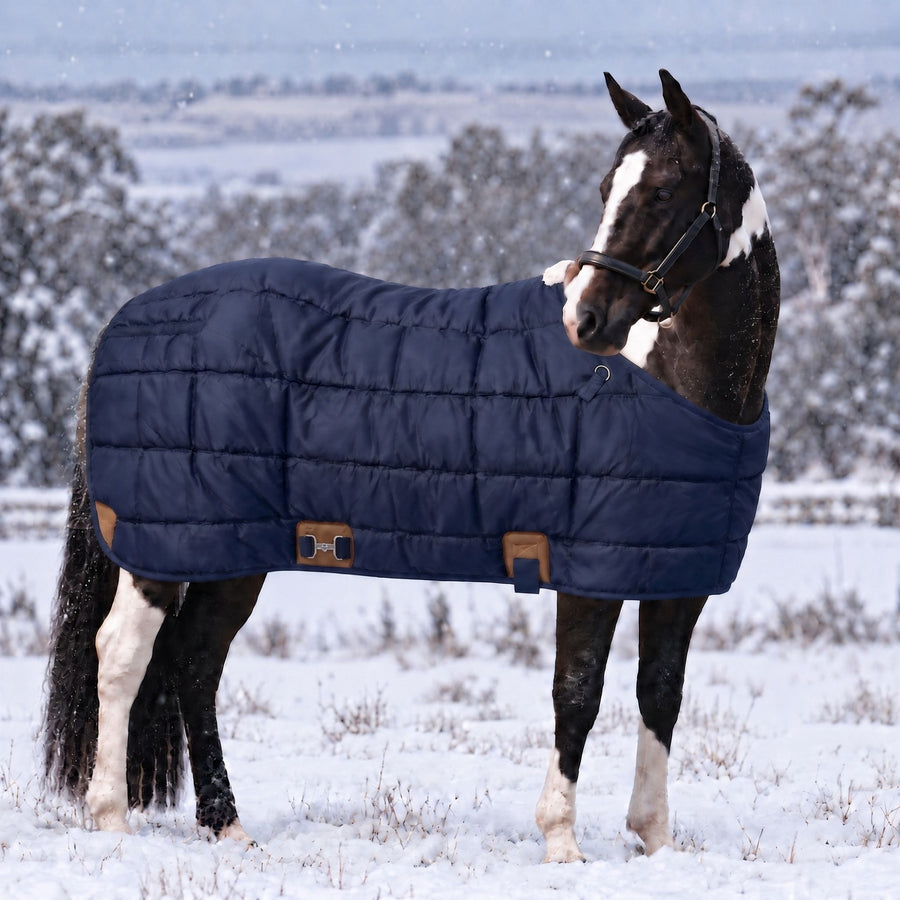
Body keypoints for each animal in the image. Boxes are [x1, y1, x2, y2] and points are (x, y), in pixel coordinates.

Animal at [42, 69, 779, 861]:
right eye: (610, 188)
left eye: (664, 191)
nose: (584, 321)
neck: (664, 379)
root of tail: (125, 321)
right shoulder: (591, 573)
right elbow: (577, 694)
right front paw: (562, 845)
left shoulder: (677, 579)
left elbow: (659, 696)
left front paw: (654, 839)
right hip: (165, 546)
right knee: (122, 654)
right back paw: (112, 821)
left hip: (232, 553)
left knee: (194, 661)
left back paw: (227, 826)